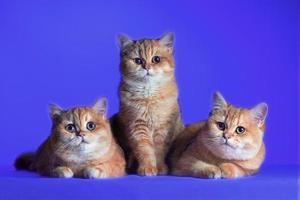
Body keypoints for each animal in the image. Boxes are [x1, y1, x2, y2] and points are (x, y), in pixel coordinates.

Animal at [111, 32, 184, 177]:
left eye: (156, 59)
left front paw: (160, 167)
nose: (147, 68)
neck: (149, 95)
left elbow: (159, 151)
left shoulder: (164, 128)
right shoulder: (137, 127)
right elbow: (144, 150)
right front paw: (148, 167)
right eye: (138, 60)